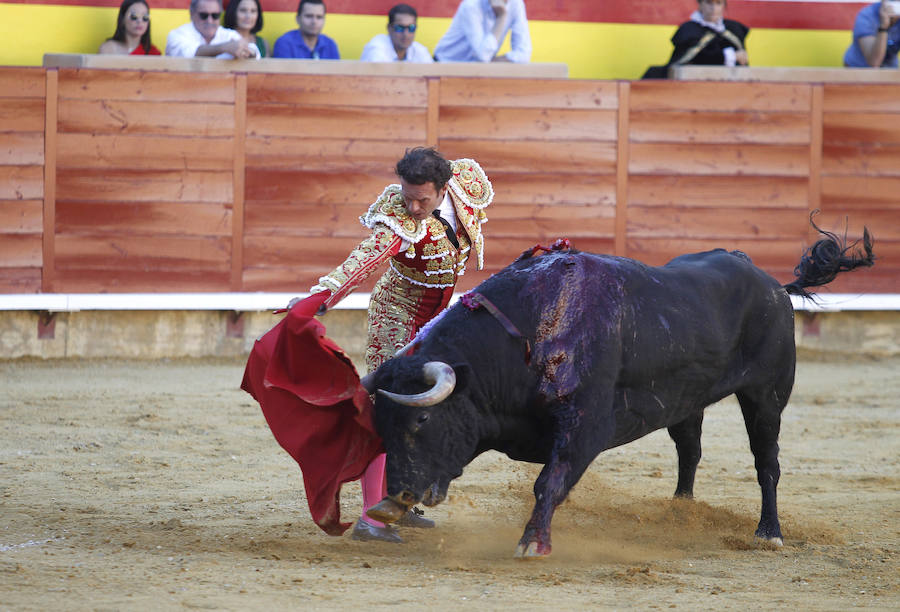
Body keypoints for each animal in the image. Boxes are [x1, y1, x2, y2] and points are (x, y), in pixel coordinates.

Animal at [360, 222, 872, 556]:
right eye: (380, 425)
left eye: (422, 418)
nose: (390, 503)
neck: (527, 330)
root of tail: (773, 285)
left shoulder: (584, 423)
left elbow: (550, 481)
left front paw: (533, 543)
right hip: (687, 400)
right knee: (690, 450)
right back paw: (680, 513)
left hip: (767, 394)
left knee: (767, 462)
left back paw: (769, 533)